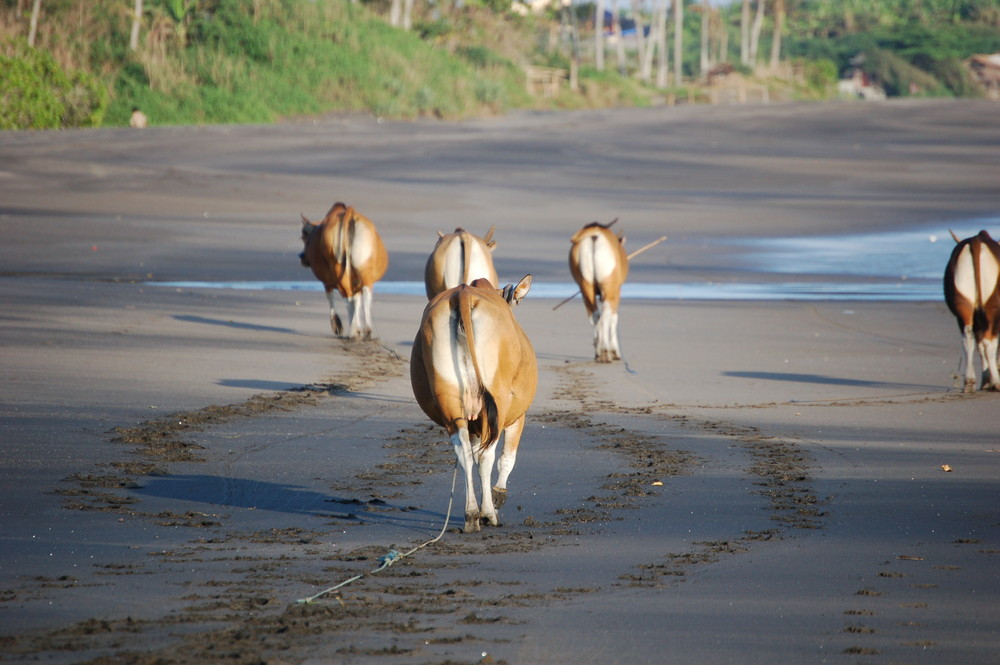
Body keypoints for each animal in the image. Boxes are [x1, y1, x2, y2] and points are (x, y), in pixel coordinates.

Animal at [298, 201, 388, 338]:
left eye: (304, 236)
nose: (302, 256)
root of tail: (350, 213)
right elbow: (358, 299)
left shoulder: (327, 281)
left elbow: (331, 298)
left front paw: (337, 324)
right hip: (363, 271)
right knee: (364, 294)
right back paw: (366, 329)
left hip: (339, 269)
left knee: (349, 298)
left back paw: (354, 331)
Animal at [408, 274, 540, 528]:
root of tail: (464, 293)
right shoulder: (517, 416)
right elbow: (507, 458)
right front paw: (497, 495)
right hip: (497, 403)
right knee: (487, 456)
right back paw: (487, 512)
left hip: (452, 403)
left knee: (464, 454)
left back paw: (471, 513)